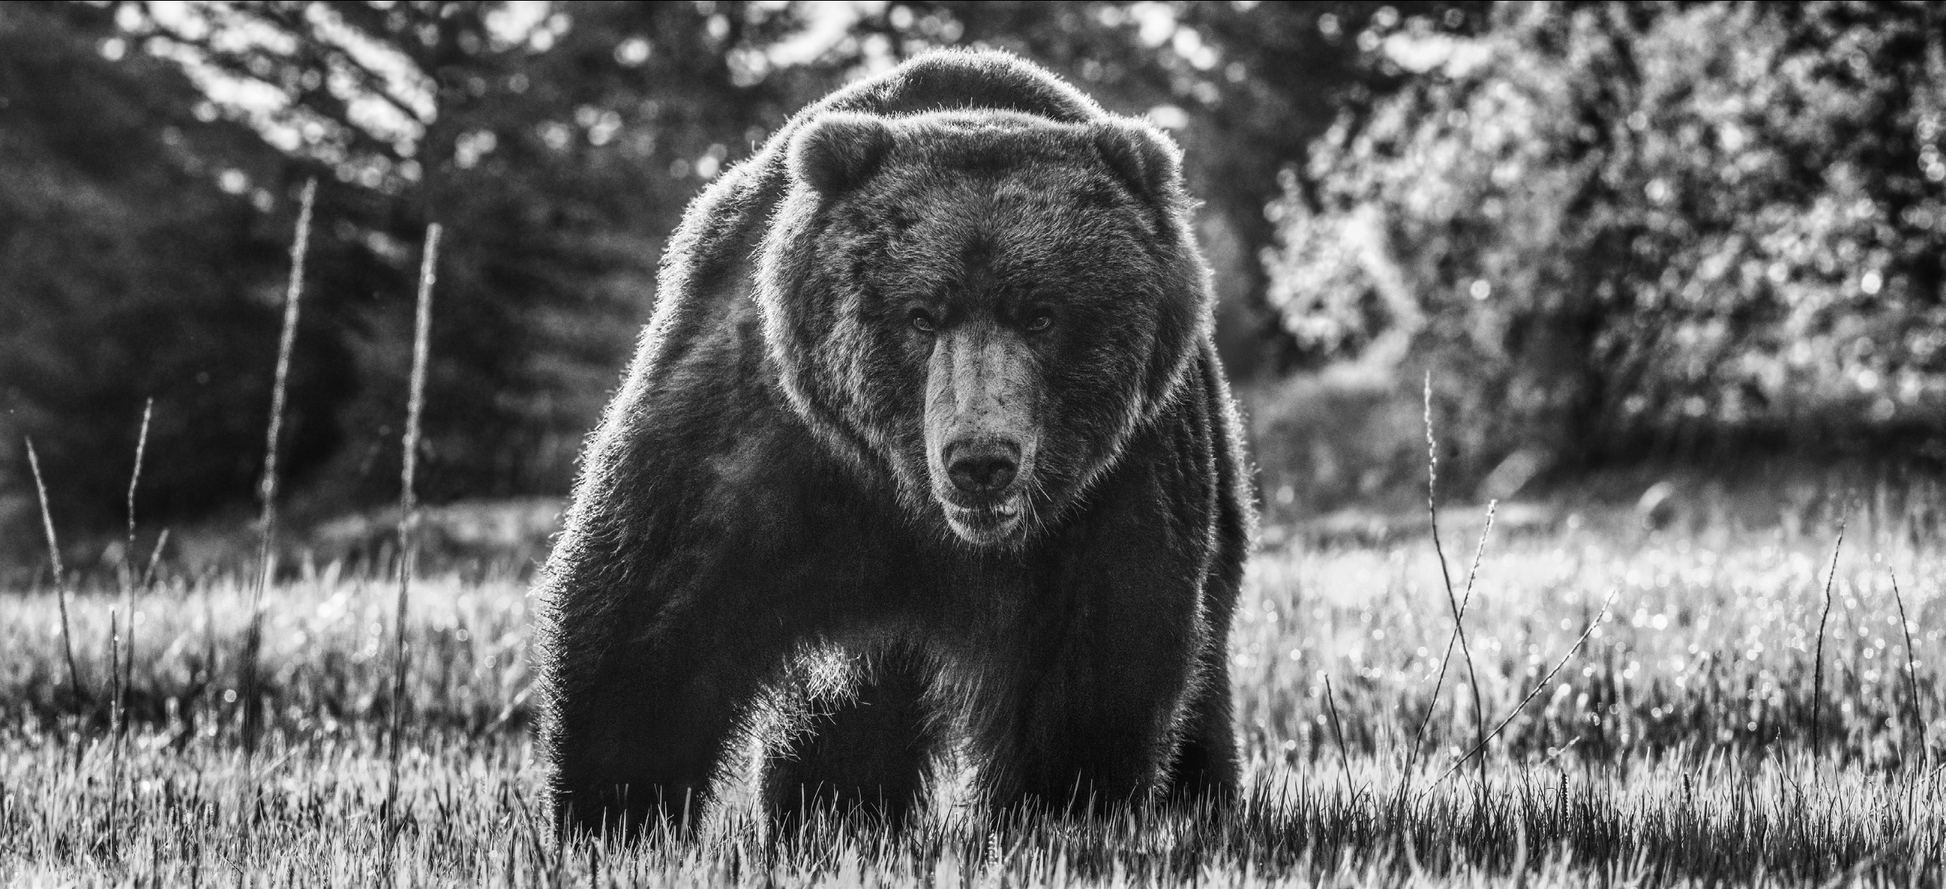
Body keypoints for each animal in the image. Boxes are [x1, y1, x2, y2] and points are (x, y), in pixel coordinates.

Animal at [533, 48, 1255, 838]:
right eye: (921, 314)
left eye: (1042, 315)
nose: (981, 461)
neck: (917, 510)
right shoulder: (760, 441)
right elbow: (650, 622)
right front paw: (615, 820)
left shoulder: (1115, 487)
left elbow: (1092, 679)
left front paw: (1056, 820)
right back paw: (832, 817)